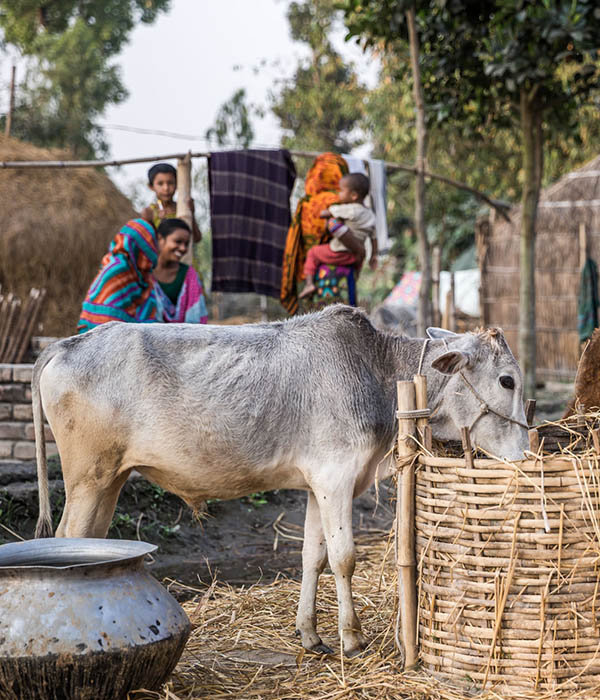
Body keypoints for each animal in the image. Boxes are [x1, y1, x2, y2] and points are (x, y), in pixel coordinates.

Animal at [34, 304, 528, 656]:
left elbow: (313, 556)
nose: (525, 453)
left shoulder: (316, 485)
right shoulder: (336, 477)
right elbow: (345, 558)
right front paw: (352, 638)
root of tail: (65, 345)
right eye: (507, 380)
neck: (379, 373)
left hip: (109, 480)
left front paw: (311, 635)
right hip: (87, 478)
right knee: (68, 540)